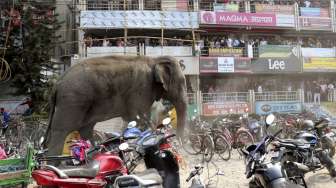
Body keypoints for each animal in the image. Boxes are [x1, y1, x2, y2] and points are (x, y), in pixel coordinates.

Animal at [44, 55, 188, 156]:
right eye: (182, 82)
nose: (181, 147)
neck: (155, 59)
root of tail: (57, 84)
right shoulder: (141, 89)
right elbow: (139, 118)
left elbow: (133, 120)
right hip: (72, 102)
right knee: (61, 131)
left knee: (85, 130)